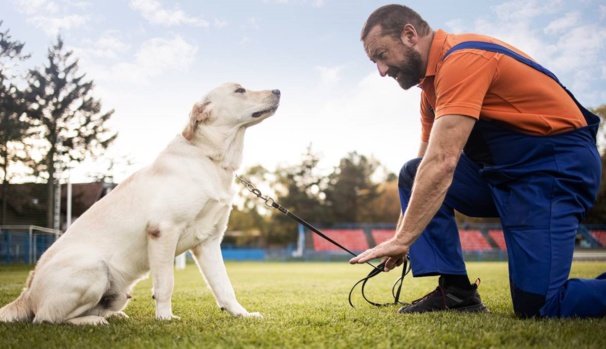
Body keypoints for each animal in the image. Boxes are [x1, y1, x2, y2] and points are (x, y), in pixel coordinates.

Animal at [0, 81, 282, 324]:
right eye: (240, 90)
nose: (278, 90)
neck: (211, 158)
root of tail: (27, 292)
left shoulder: (209, 242)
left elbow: (224, 286)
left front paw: (241, 314)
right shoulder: (163, 230)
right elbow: (166, 283)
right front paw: (165, 318)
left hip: (118, 291)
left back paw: (111, 315)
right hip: (94, 267)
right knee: (46, 318)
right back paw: (93, 321)